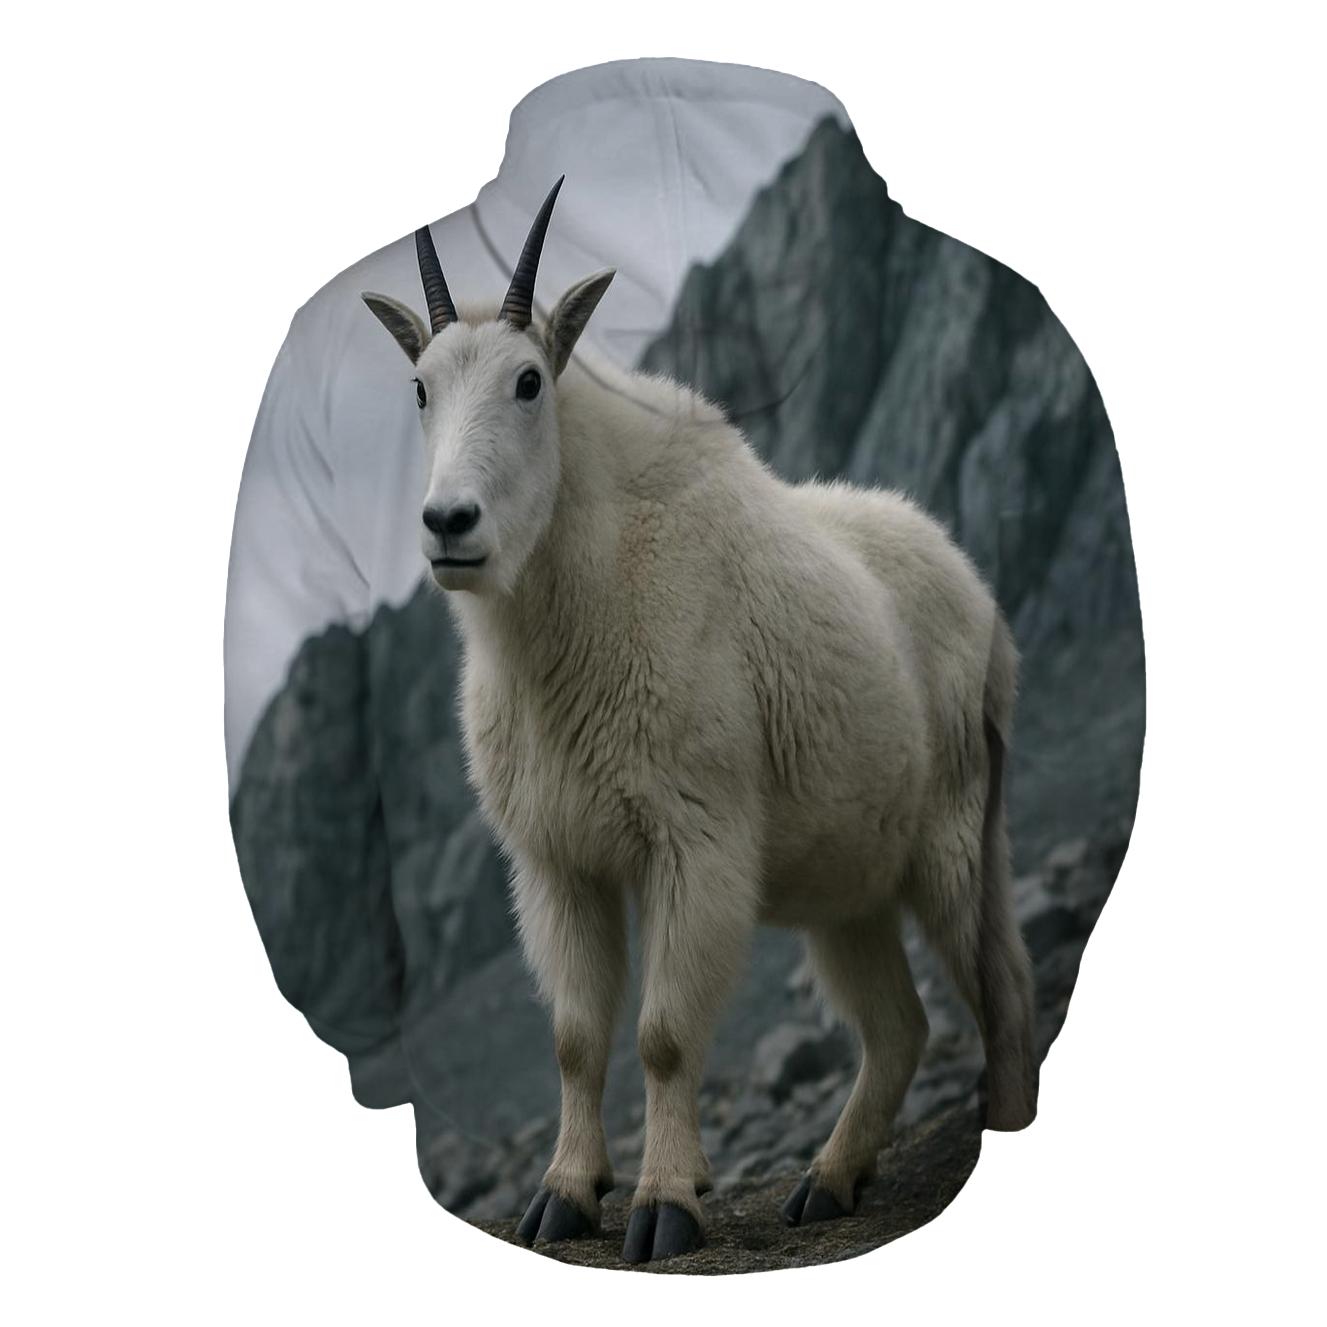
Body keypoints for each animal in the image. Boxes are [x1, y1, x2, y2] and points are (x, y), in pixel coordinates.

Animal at [362, 177, 1038, 1263]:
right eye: (420, 387)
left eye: (527, 382)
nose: (449, 526)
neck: (569, 608)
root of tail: (975, 588)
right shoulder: (558, 860)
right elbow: (575, 1035)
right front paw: (565, 1193)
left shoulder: (694, 836)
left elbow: (664, 1032)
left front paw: (665, 1204)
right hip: (850, 885)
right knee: (897, 1024)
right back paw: (827, 1179)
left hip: (958, 835)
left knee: (1000, 986)